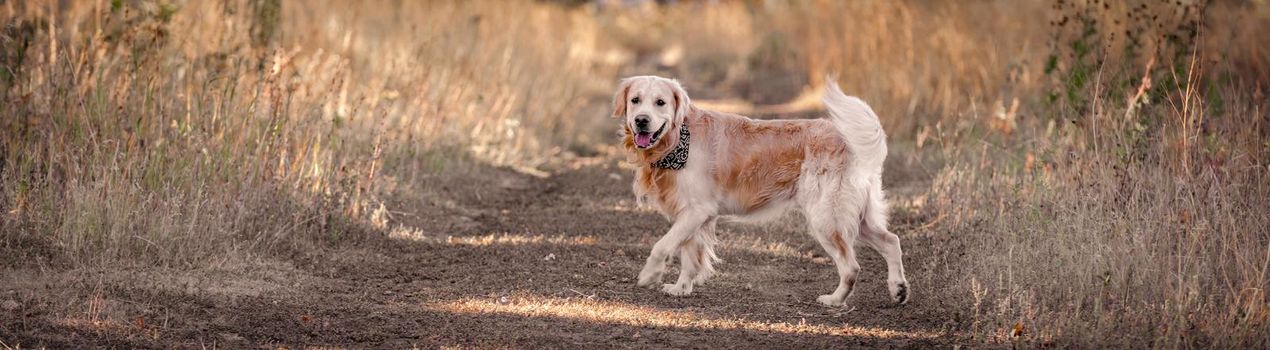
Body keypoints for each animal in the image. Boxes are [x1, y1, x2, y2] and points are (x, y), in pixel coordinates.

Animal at [612, 75, 904, 304]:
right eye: (635, 100)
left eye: (660, 102)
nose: (641, 121)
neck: (676, 142)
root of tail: (847, 139)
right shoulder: (692, 215)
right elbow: (689, 254)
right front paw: (681, 288)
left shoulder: (697, 211)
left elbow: (662, 246)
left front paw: (649, 275)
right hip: (856, 218)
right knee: (892, 241)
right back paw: (899, 289)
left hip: (826, 219)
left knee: (852, 266)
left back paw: (834, 300)